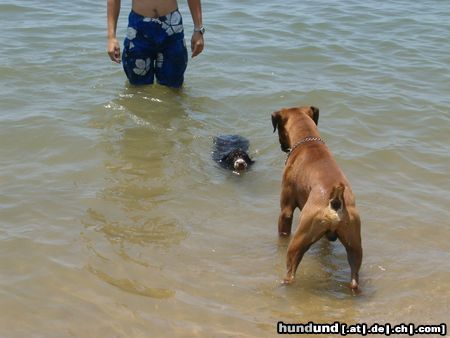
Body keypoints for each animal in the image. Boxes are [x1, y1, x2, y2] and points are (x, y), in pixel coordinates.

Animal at [270, 106, 362, 290]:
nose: (282, 146)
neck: (308, 141)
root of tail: (336, 199)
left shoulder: (286, 211)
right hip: (355, 246)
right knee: (354, 279)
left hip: (298, 241)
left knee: (290, 273)